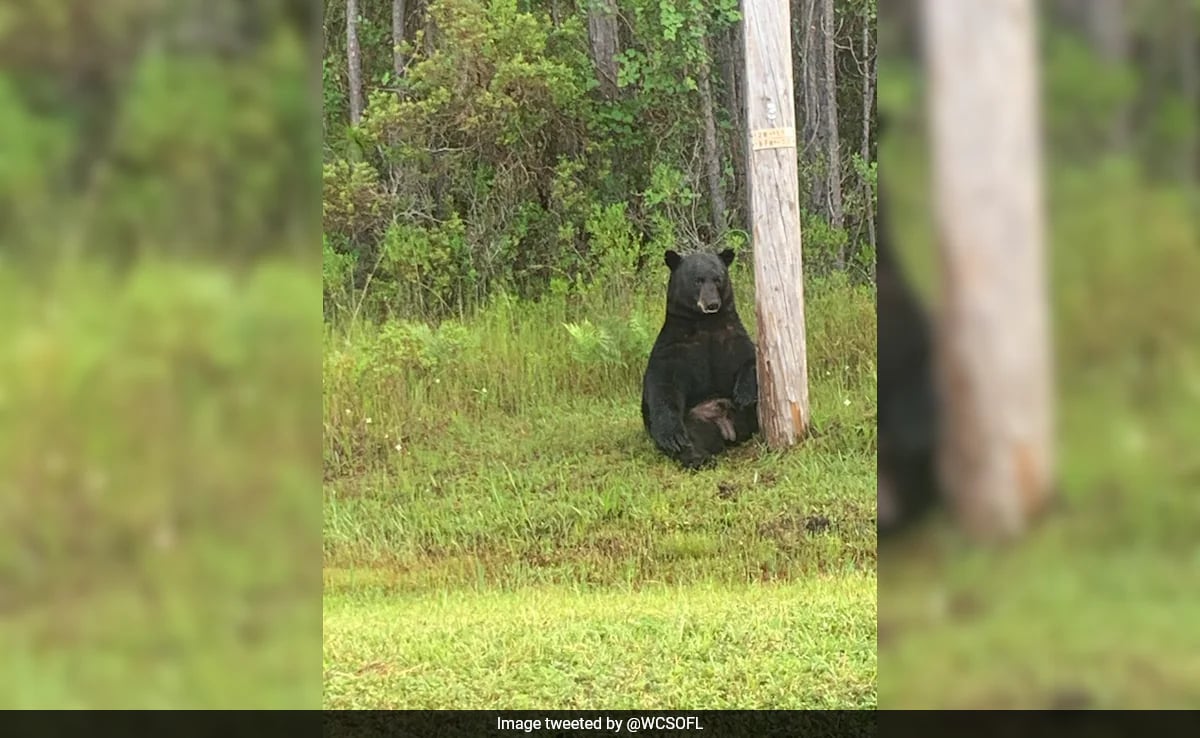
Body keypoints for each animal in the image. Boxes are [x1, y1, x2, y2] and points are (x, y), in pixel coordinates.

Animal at [643, 248, 753, 468]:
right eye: (697, 280)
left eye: (718, 279)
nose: (712, 304)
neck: (705, 323)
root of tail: (726, 427)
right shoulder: (674, 348)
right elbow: (663, 385)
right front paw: (671, 437)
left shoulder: (732, 336)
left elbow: (750, 358)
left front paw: (745, 394)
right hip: (696, 420)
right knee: (690, 439)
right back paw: (698, 457)